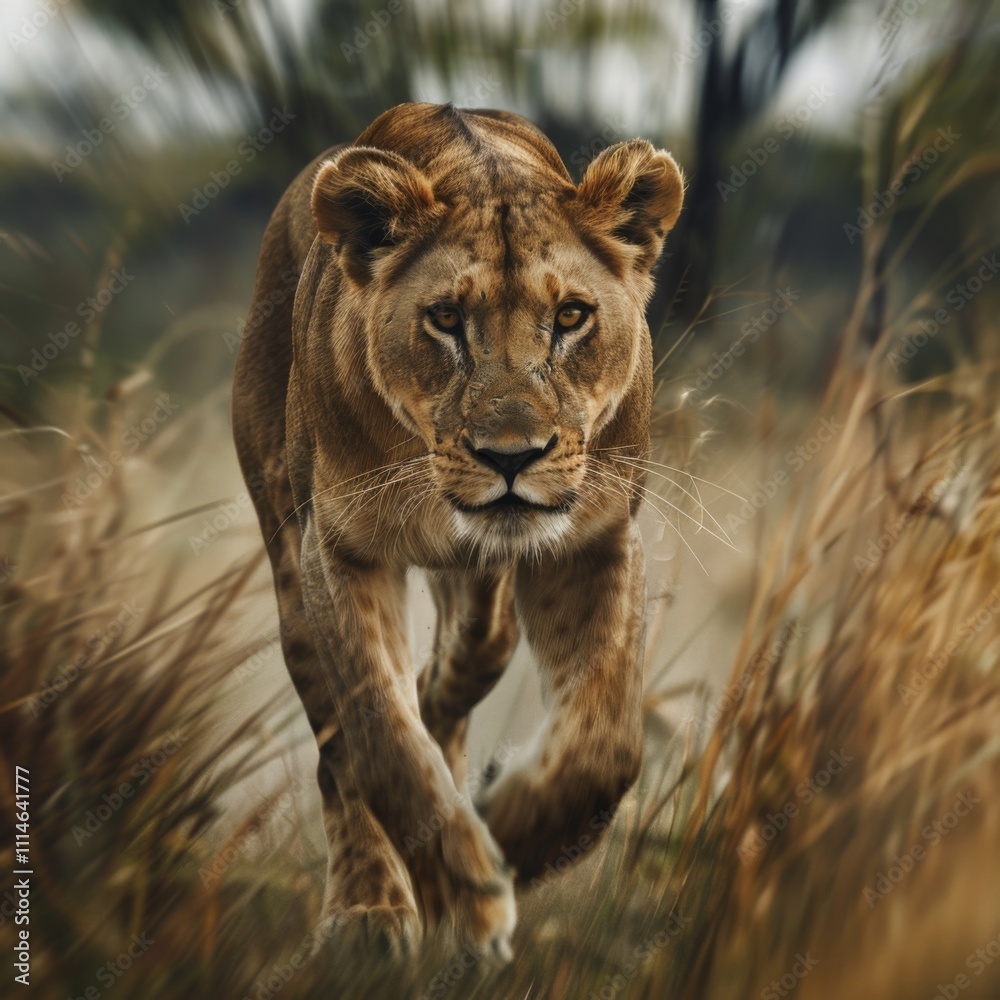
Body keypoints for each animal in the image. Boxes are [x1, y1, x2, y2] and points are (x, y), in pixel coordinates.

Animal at [232, 102, 684, 959]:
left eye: (570, 316)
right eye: (445, 319)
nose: (511, 457)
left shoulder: (599, 537)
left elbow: (606, 744)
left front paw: (516, 833)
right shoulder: (339, 550)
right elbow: (381, 736)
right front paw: (462, 890)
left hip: (484, 599)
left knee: (464, 665)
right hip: (289, 557)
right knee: (340, 753)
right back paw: (369, 911)